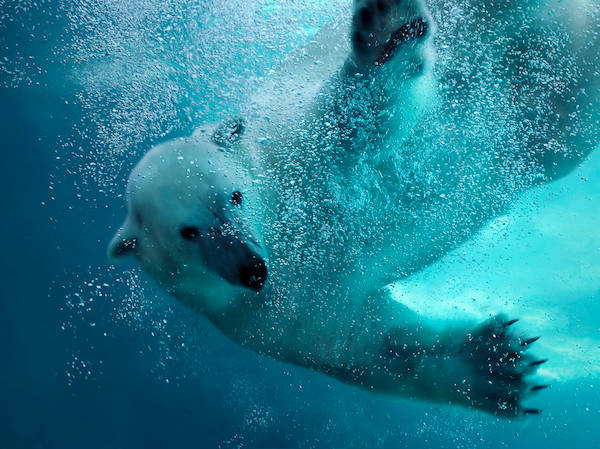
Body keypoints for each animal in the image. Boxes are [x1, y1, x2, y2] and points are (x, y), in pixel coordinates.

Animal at [106, 0, 596, 414]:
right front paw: (497, 366)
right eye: (188, 233)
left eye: (234, 196)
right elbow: (374, 347)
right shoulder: (276, 316)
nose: (253, 269)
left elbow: (357, 115)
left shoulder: (298, 148)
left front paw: (388, 30)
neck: (284, 226)